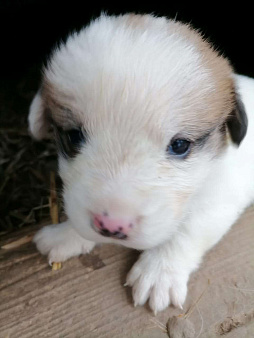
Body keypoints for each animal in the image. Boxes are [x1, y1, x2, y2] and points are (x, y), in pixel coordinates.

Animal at [27, 13, 254, 314]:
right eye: (74, 136)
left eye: (180, 145)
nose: (112, 226)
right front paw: (67, 235)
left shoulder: (220, 197)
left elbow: (188, 230)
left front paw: (159, 272)